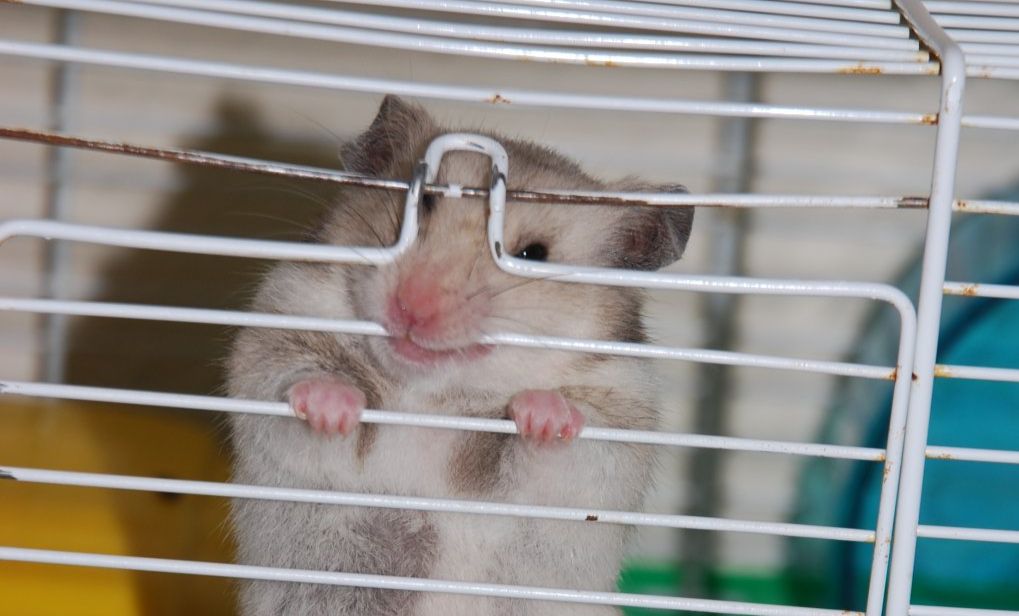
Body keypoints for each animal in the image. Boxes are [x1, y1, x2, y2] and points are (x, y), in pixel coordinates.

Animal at [226, 95, 694, 616]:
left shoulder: (615, 427)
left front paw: (544, 414)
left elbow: (564, 457)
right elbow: (300, 402)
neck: (432, 398)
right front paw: (332, 403)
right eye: (422, 201)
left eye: (533, 254)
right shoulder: (274, 343)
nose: (413, 306)